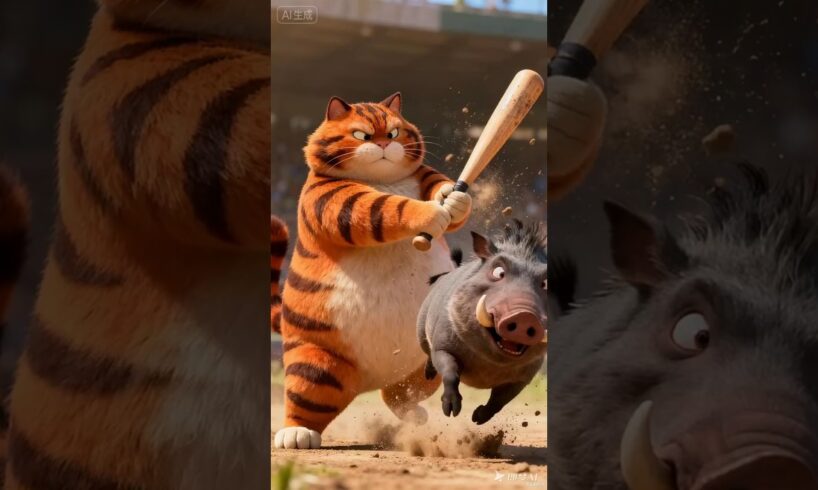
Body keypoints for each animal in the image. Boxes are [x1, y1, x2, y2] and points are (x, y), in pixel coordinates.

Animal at [273, 93, 473, 449]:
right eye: (360, 135)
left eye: (393, 132)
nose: (382, 143)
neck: (382, 179)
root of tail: (371, 379)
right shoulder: (330, 198)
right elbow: (385, 207)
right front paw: (430, 213)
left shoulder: (422, 174)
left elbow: (439, 186)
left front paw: (453, 199)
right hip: (317, 364)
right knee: (307, 397)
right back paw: (296, 434)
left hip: (426, 360)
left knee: (397, 394)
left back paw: (413, 413)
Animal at [417, 220, 547, 424]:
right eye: (498, 272)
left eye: (546, 284)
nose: (525, 315)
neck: (490, 364)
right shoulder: (443, 346)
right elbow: (450, 372)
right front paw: (451, 411)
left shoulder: (524, 378)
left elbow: (500, 400)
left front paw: (477, 419)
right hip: (421, 331)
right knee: (428, 354)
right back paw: (429, 376)